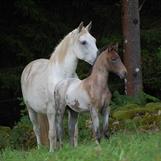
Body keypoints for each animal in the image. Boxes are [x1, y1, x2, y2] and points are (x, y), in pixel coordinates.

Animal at [20, 21, 97, 151]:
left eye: (94, 40)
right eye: (83, 42)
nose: (98, 58)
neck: (63, 76)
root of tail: (30, 66)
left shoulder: (73, 108)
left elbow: (74, 131)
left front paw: (75, 148)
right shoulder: (51, 110)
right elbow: (52, 133)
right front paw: (52, 152)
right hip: (31, 109)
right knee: (37, 129)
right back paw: (41, 149)